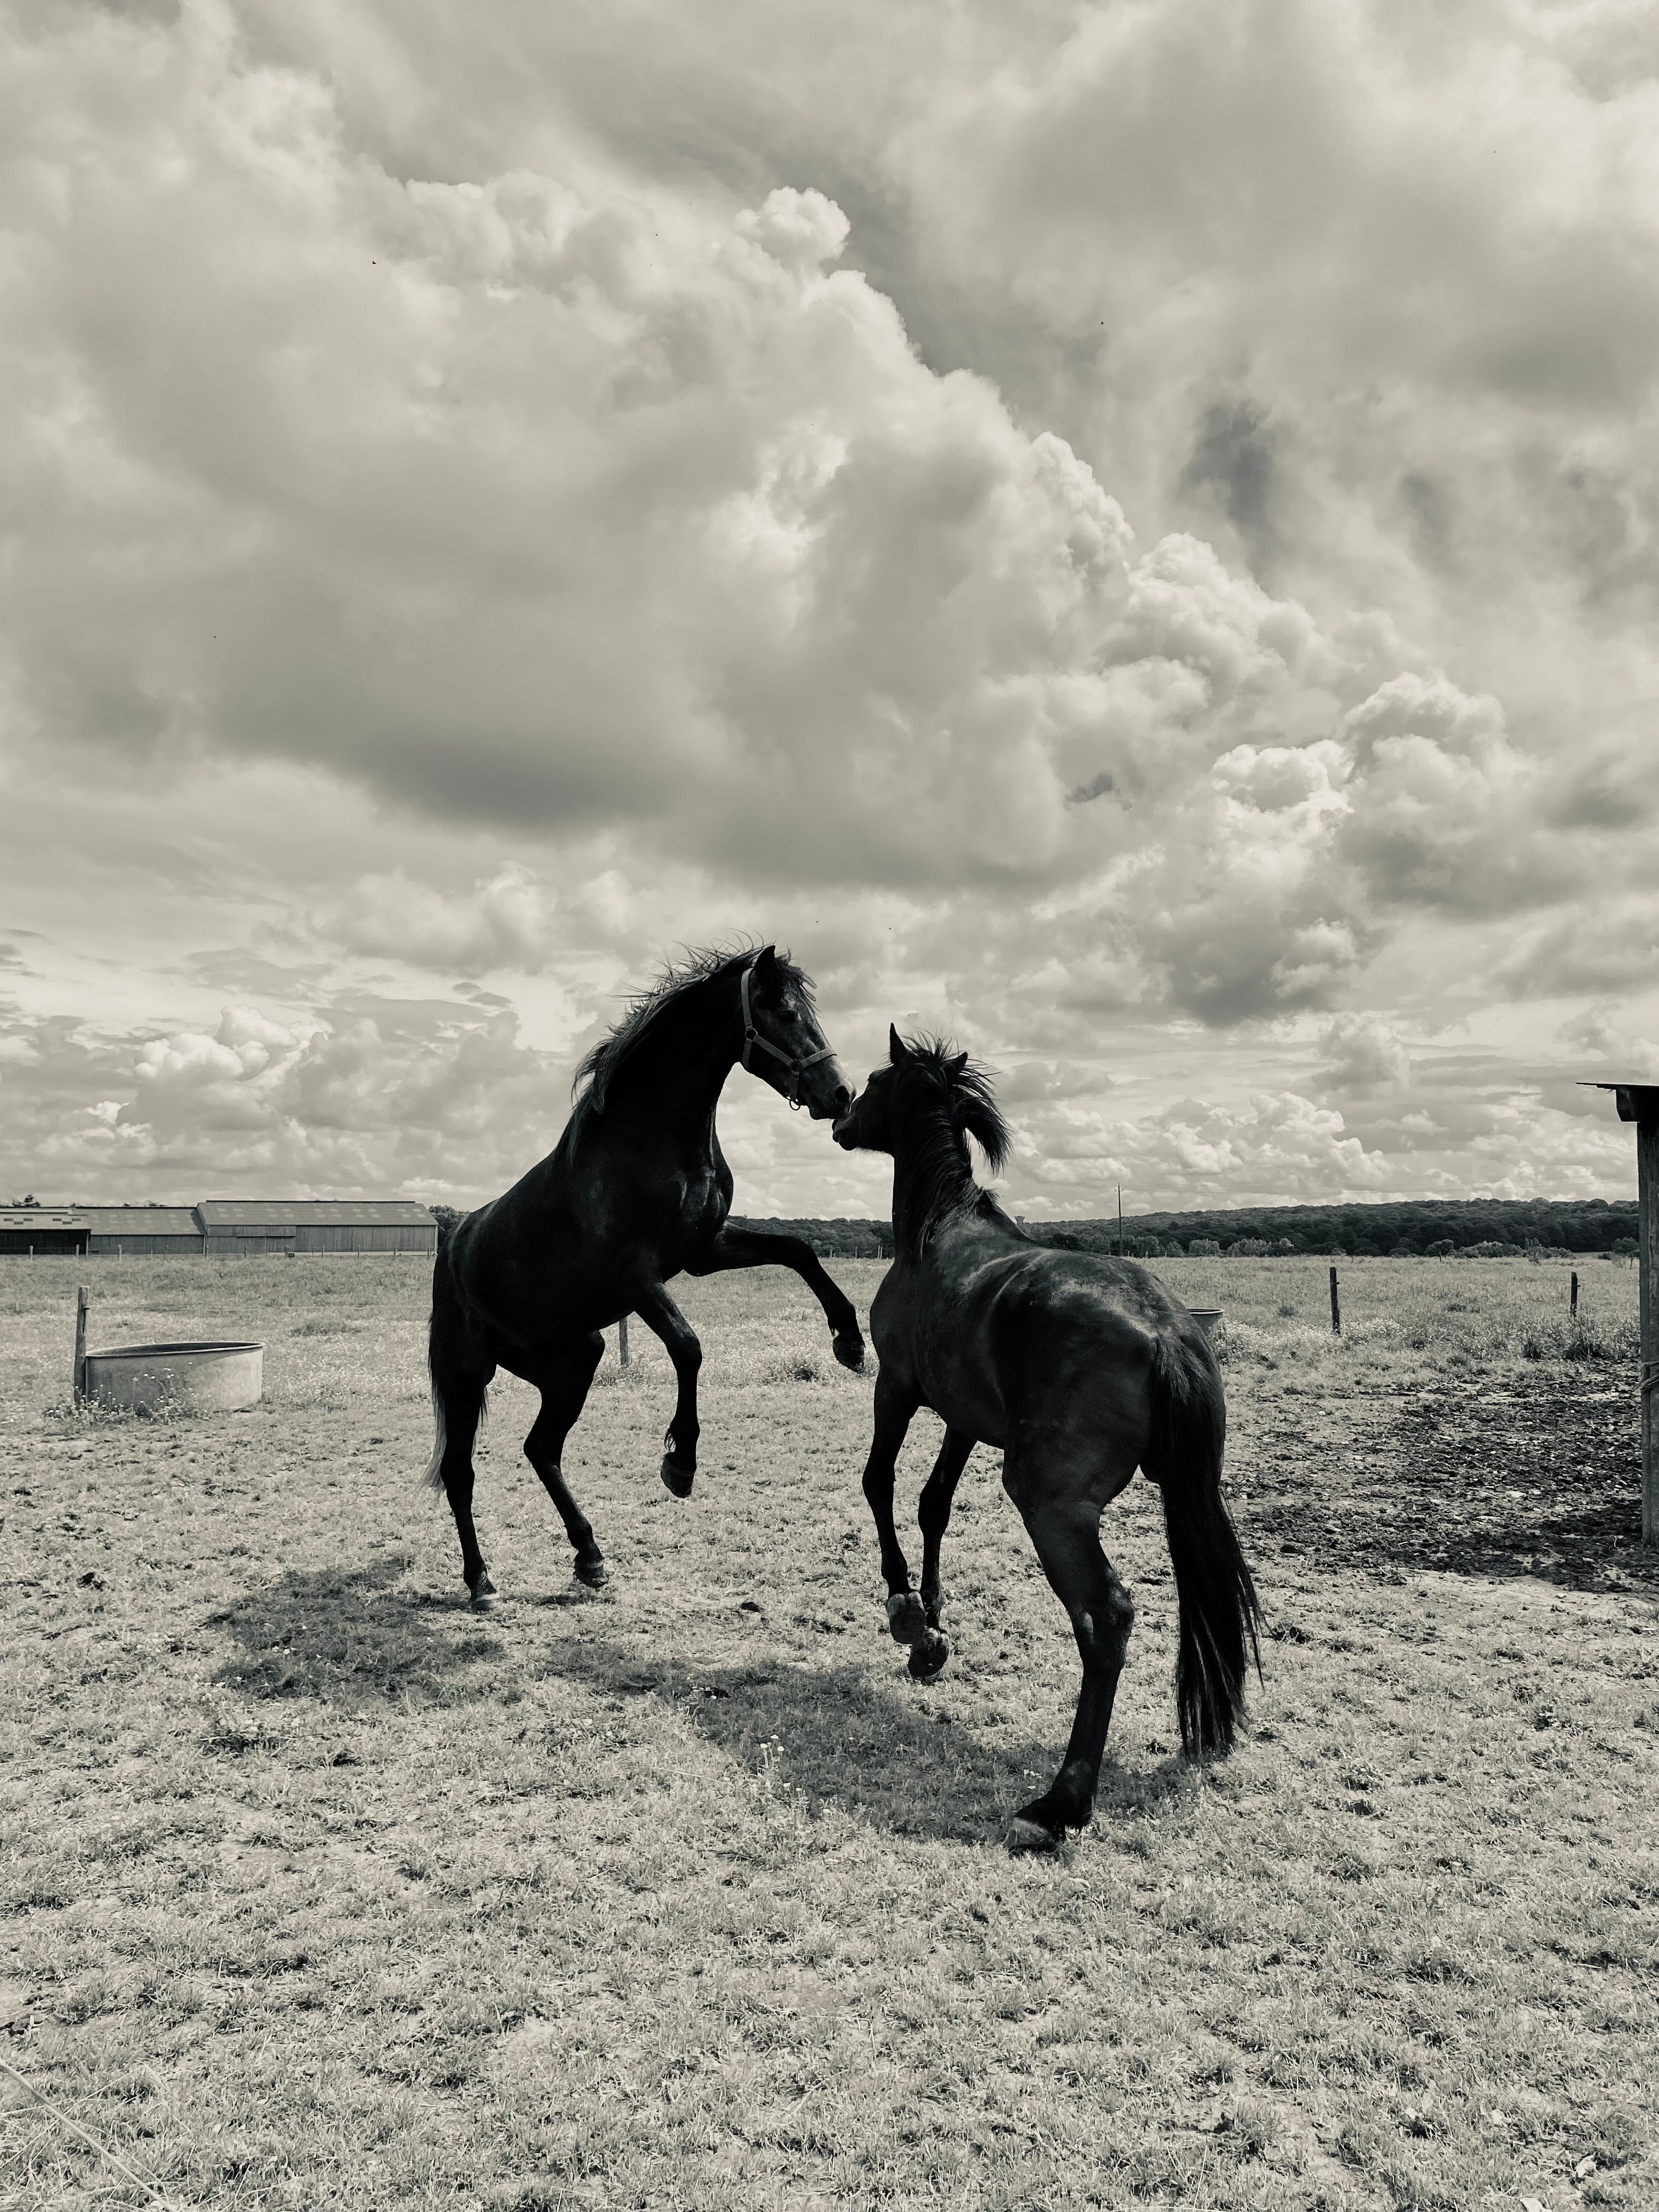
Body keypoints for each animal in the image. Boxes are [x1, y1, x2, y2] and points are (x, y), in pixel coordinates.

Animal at [427, 946, 859, 1605]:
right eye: (784, 1012)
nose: (840, 1093)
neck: (650, 1142)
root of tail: (451, 1245)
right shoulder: (638, 1276)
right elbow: (689, 1346)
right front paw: (680, 1464)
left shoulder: (704, 1250)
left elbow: (800, 1250)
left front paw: (850, 1342)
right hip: (465, 1374)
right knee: (461, 1471)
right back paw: (482, 1581)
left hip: (574, 1362)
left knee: (541, 1449)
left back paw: (590, 1557)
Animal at [832, 1029, 1263, 1851]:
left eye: (872, 1082)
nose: (838, 1117)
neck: (939, 1233)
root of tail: (1164, 1331)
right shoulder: (965, 1420)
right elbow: (934, 1504)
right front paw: (933, 1632)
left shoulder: (895, 1388)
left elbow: (879, 1484)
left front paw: (906, 1612)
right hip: (1190, 1499)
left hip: (1049, 1506)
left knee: (1107, 1618)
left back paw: (1062, 1802)